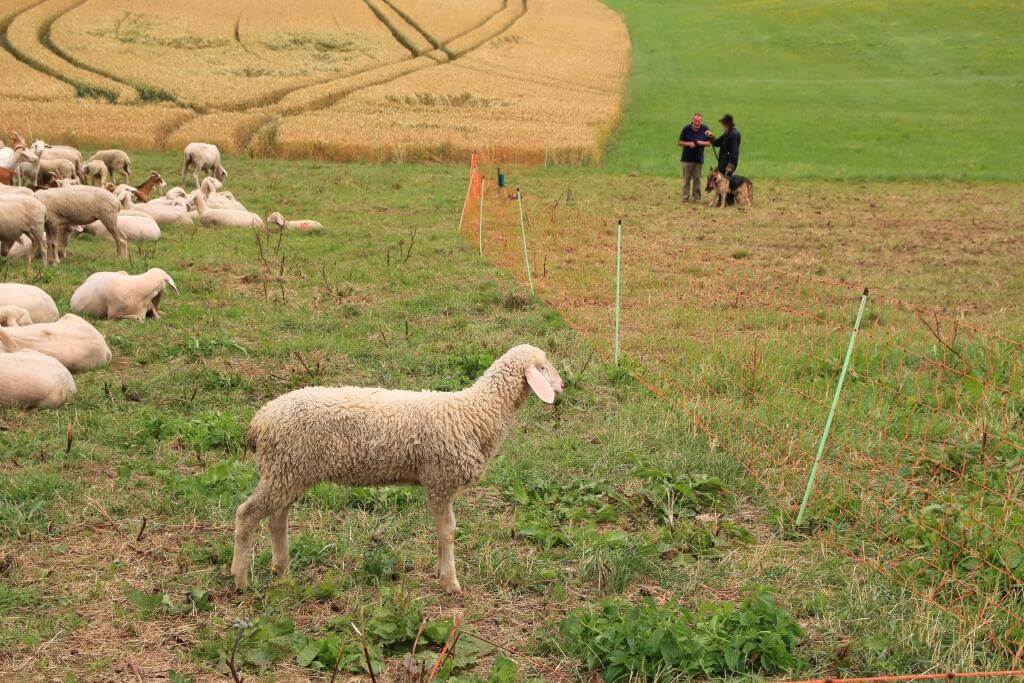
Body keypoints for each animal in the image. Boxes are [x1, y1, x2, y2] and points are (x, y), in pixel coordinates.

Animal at [231, 344, 564, 592]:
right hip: (285, 469)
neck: (474, 412)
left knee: (277, 519)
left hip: (289, 472)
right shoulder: (440, 480)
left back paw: (281, 568)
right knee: (247, 514)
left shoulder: (438, 482)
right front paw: (451, 582)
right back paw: (240, 579)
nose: (562, 385)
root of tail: (259, 422)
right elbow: (448, 532)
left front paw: (443, 574)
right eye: (543, 366)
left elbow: (443, 532)